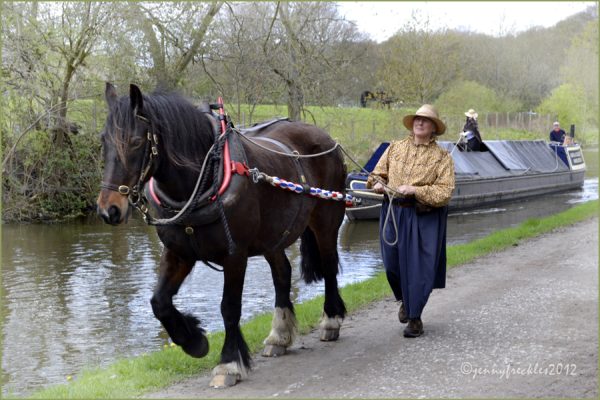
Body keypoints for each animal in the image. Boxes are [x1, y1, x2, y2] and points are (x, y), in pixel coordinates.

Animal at [94, 83, 346, 388]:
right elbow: (159, 302)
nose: (109, 209)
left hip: (326, 221)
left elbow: (229, 308)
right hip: (272, 236)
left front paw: (229, 363)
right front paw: (194, 340)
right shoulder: (178, 252)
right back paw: (279, 336)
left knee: (329, 265)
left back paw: (330, 320)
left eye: (134, 142)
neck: (200, 181)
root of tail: (324, 136)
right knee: (282, 275)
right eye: (104, 141)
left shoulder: (234, 255)